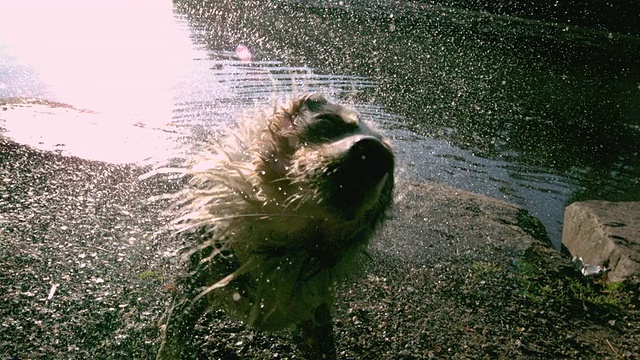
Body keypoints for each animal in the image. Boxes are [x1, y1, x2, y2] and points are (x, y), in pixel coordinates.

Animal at [155, 94, 396, 358]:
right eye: (326, 122)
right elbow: (175, 332)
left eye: (390, 164)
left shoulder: (312, 303)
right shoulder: (201, 271)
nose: (372, 154)